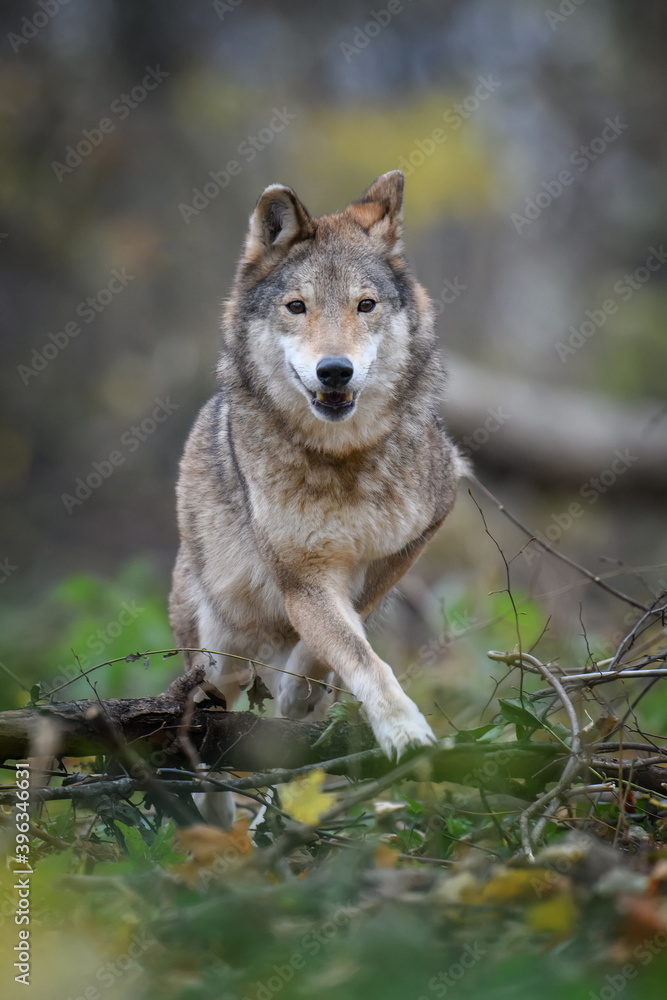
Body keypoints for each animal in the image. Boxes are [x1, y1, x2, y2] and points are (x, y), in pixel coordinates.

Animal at [169, 170, 464, 825]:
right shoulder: (300, 578)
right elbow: (360, 653)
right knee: (208, 710)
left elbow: (345, 632)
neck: (343, 461)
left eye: (365, 305)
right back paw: (218, 825)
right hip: (217, 647)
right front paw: (405, 732)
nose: (335, 371)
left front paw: (302, 688)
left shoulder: (430, 518)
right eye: (297, 306)